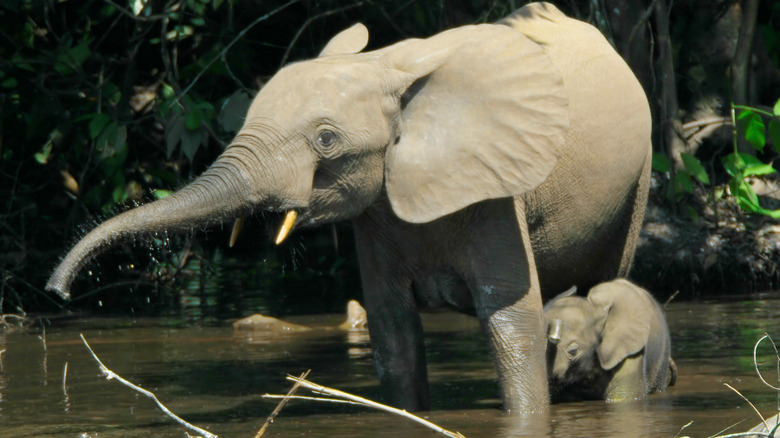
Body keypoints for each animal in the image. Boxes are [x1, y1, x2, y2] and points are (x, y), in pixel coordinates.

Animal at [45, 2, 648, 414]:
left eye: (327, 140)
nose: (57, 292)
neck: (387, 67)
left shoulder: (497, 190)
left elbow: (510, 322)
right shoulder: (377, 213)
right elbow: (393, 332)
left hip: (637, 181)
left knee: (607, 280)